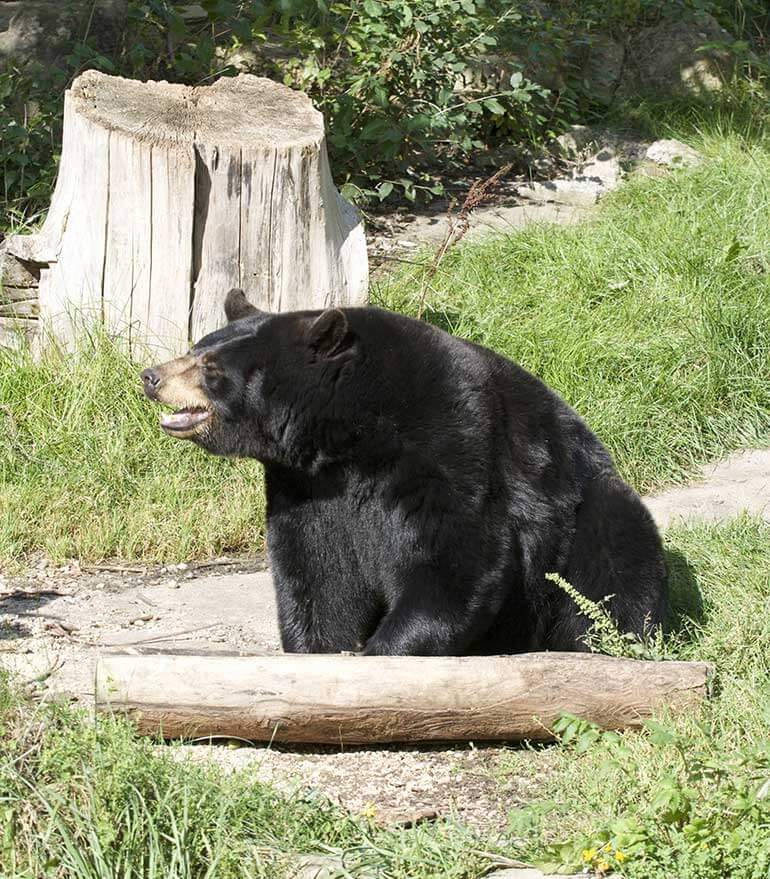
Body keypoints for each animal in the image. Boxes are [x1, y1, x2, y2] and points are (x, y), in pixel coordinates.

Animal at [142, 288, 664, 652]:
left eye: (211, 369)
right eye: (195, 346)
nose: (152, 376)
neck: (352, 434)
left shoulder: (451, 443)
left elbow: (458, 559)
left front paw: (383, 652)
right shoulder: (306, 485)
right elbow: (316, 570)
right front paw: (318, 649)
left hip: (585, 514)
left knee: (614, 569)